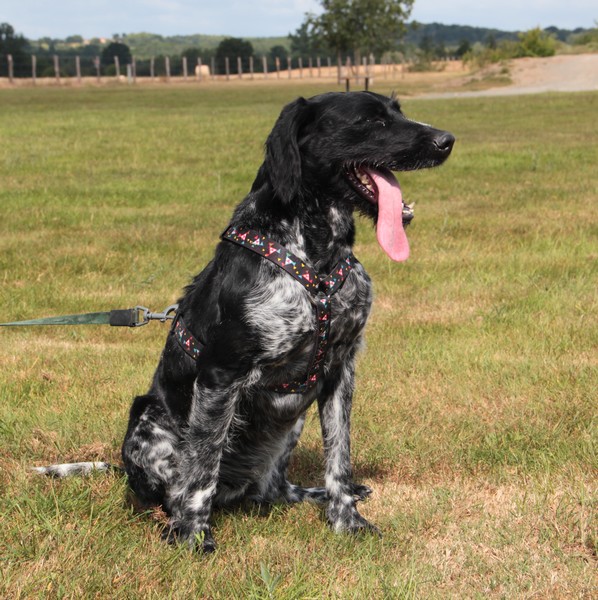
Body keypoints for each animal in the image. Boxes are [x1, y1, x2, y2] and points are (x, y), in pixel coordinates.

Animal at [37, 91, 454, 556]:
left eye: (398, 110)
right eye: (370, 121)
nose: (447, 140)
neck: (317, 259)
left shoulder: (340, 372)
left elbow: (339, 459)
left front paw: (347, 520)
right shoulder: (221, 375)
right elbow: (201, 468)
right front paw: (191, 538)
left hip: (292, 420)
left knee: (274, 489)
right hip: (148, 421)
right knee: (171, 491)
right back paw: (174, 517)